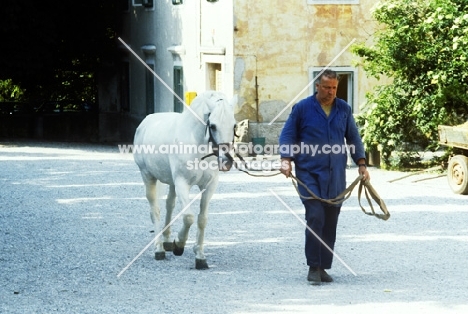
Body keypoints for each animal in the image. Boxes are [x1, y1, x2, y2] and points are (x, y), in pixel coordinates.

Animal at [134, 91, 238, 270]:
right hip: (148, 176)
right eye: (213, 126)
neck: (197, 144)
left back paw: (167, 241)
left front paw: (200, 257)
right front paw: (179, 245)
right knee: (155, 211)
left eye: (234, 126)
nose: (226, 161)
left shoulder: (209, 186)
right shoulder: (183, 183)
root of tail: (145, 123)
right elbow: (188, 217)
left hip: (171, 183)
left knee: (169, 204)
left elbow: (202, 219)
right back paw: (159, 249)